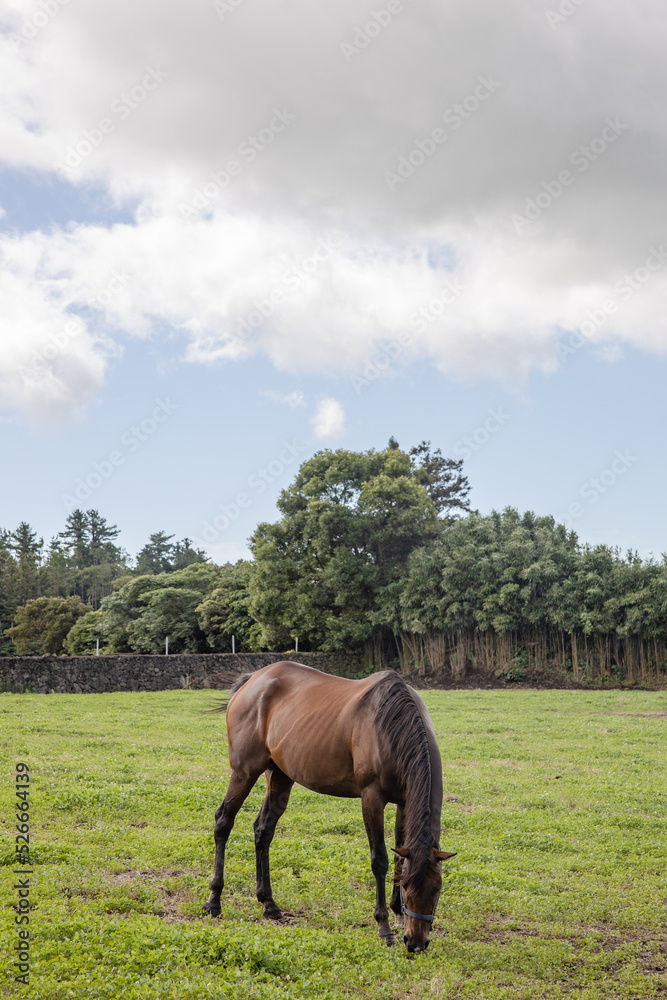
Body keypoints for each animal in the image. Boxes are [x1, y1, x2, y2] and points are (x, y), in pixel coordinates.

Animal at [204, 660, 456, 948]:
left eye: (437, 889)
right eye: (407, 887)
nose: (416, 942)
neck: (391, 726)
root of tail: (253, 680)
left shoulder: (404, 803)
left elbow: (399, 855)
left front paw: (397, 913)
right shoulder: (372, 798)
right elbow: (380, 859)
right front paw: (383, 925)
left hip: (280, 775)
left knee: (263, 830)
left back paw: (269, 903)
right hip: (244, 772)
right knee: (224, 822)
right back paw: (214, 900)